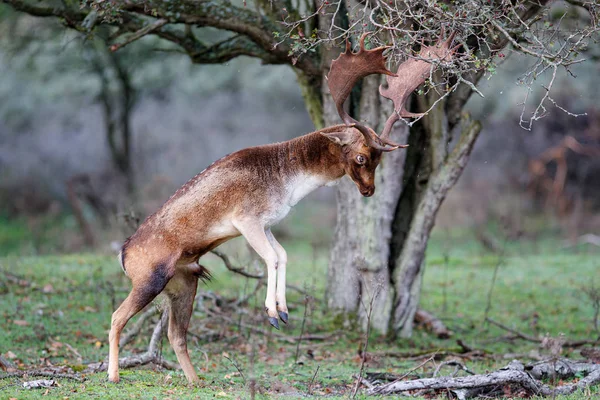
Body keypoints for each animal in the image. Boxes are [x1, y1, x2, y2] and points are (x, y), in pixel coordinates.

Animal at [108, 29, 458, 382]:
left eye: (379, 159)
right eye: (361, 157)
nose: (369, 190)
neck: (287, 182)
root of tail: (123, 254)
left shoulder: (267, 223)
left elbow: (283, 255)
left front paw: (284, 311)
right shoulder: (246, 219)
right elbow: (272, 258)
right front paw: (273, 314)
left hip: (184, 282)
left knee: (175, 334)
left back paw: (195, 381)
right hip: (150, 278)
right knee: (116, 316)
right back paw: (113, 375)